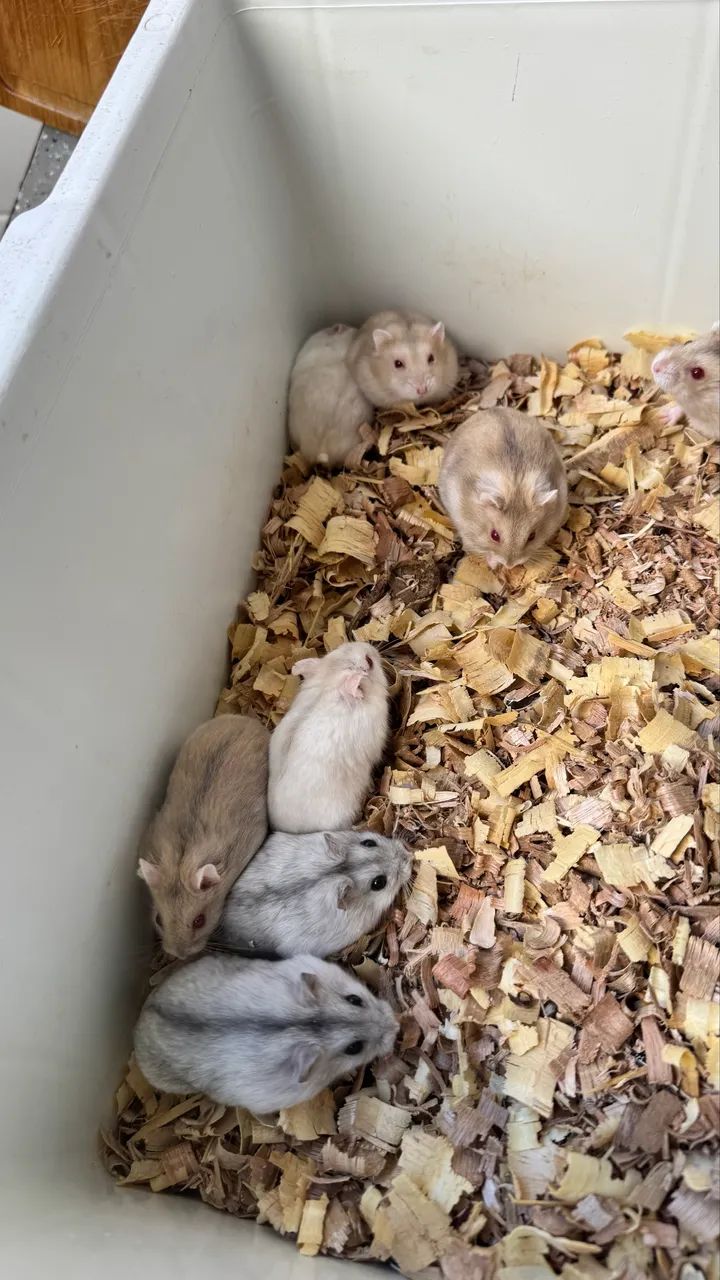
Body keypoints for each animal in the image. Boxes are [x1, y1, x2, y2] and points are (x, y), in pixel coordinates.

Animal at [439, 407, 568, 569]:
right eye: (494, 535)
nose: (510, 565)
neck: (515, 485)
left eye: (532, 536)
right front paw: (493, 564)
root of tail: (493, 409)